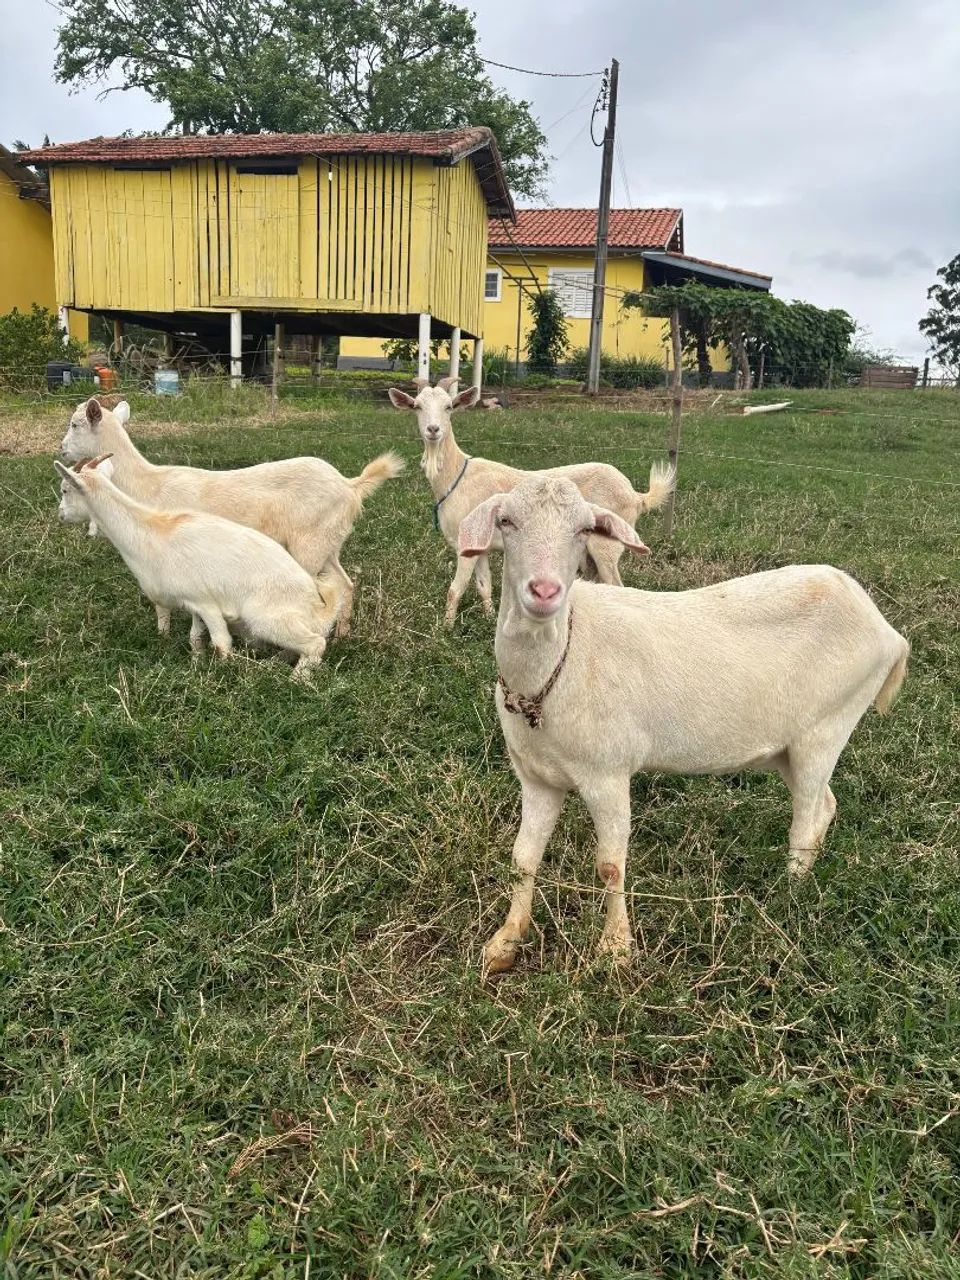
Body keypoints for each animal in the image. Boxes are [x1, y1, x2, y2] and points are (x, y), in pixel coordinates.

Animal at [55, 455, 339, 678]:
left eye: (65, 489)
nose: (60, 515)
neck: (150, 533)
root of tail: (317, 608)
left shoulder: (206, 603)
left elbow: (222, 643)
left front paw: (221, 676)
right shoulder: (193, 605)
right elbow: (194, 638)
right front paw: (195, 665)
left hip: (267, 619)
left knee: (315, 644)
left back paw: (297, 679)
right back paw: (273, 664)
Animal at [61, 398, 403, 638]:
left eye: (76, 424)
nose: (61, 449)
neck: (147, 483)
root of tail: (350, 485)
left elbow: (162, 602)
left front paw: (164, 635)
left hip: (309, 545)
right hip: (327, 543)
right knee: (345, 585)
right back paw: (343, 632)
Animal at [388, 378, 674, 627]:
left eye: (449, 407)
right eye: (417, 406)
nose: (433, 430)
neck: (457, 475)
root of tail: (636, 496)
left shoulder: (462, 545)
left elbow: (455, 589)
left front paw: (445, 629)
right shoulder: (477, 545)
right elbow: (484, 585)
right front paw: (489, 619)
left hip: (607, 546)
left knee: (616, 584)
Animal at [457, 476, 910, 974]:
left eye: (583, 530)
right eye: (506, 521)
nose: (544, 591)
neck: (560, 663)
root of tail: (888, 631)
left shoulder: (607, 773)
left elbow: (610, 865)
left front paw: (615, 949)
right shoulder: (537, 777)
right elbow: (523, 858)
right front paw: (504, 943)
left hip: (827, 727)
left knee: (806, 818)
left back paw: (788, 893)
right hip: (788, 748)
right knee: (825, 805)